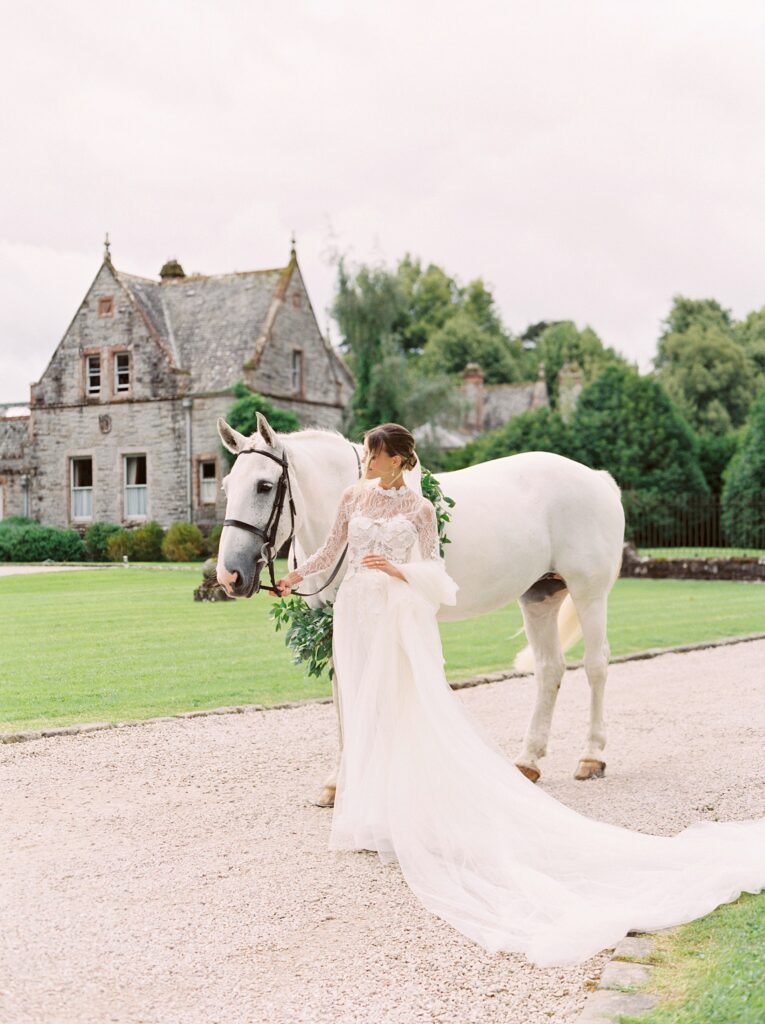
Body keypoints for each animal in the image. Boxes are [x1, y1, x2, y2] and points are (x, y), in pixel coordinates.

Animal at [218, 411, 626, 802]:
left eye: (264, 485)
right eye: (226, 486)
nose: (229, 575)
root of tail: (597, 478)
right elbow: (345, 695)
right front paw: (339, 783)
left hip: (589, 593)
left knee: (596, 665)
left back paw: (592, 756)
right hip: (539, 596)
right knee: (549, 669)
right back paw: (529, 761)